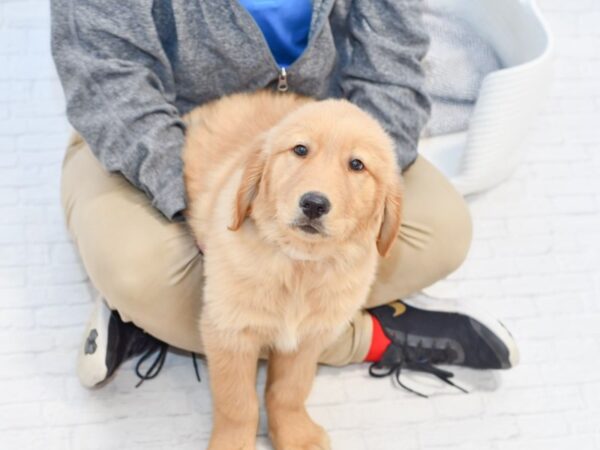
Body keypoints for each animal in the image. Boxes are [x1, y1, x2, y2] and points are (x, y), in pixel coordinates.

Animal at [180, 91, 400, 450]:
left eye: (357, 165)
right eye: (300, 150)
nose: (314, 204)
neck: (299, 265)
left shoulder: (309, 337)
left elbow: (290, 390)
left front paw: (295, 434)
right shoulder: (229, 330)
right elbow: (236, 402)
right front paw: (234, 442)